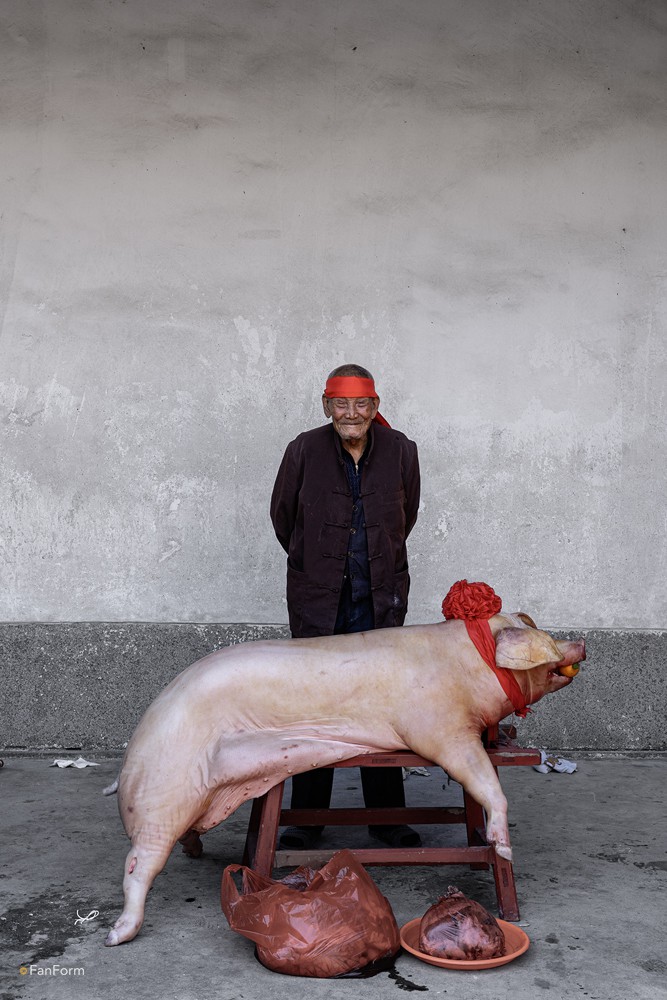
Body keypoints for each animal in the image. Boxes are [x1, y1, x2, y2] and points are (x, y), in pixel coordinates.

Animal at [105, 611, 585, 946]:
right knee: (139, 864)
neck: (468, 665)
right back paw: (117, 935)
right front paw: (503, 849)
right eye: (537, 632)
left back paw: (194, 850)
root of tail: (134, 750)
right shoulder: (438, 729)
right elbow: (484, 780)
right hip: (165, 790)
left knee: (180, 838)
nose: (580, 642)